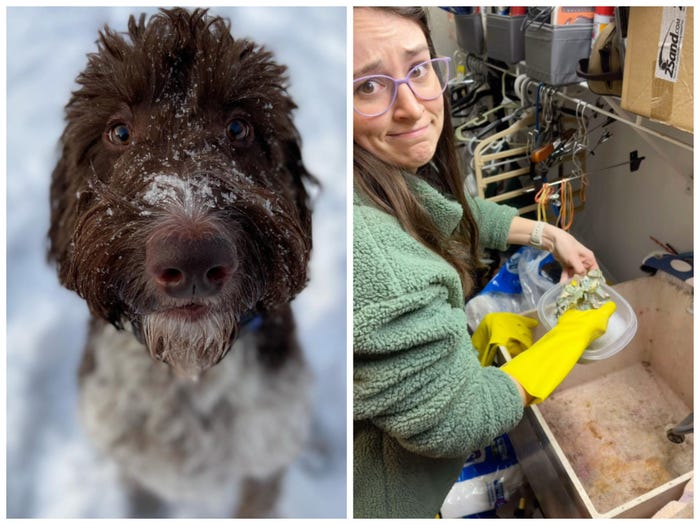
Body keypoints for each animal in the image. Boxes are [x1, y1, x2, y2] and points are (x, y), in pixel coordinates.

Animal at [50, 7, 318, 516]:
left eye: (239, 128)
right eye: (119, 131)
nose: (193, 262)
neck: (187, 371)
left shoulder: (265, 462)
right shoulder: (133, 466)